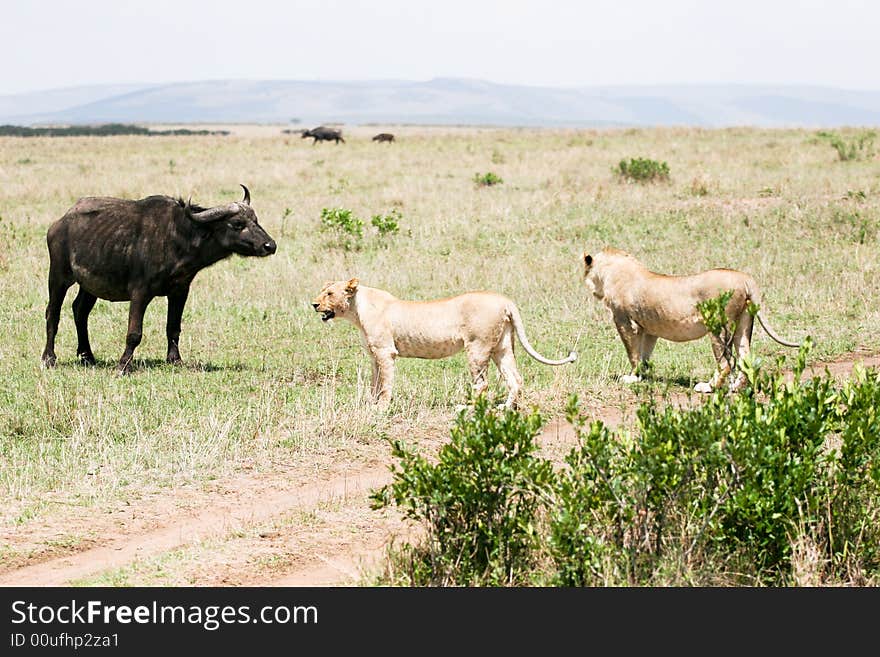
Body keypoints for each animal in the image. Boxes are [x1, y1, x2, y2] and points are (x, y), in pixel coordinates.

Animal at [40, 183, 276, 374]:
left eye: (255, 220)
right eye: (237, 223)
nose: (270, 245)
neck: (178, 237)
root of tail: (59, 223)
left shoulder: (180, 291)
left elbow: (173, 327)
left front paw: (175, 359)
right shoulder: (140, 292)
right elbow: (134, 333)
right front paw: (123, 365)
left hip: (89, 286)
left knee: (80, 310)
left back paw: (87, 356)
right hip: (59, 276)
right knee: (53, 313)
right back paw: (49, 358)